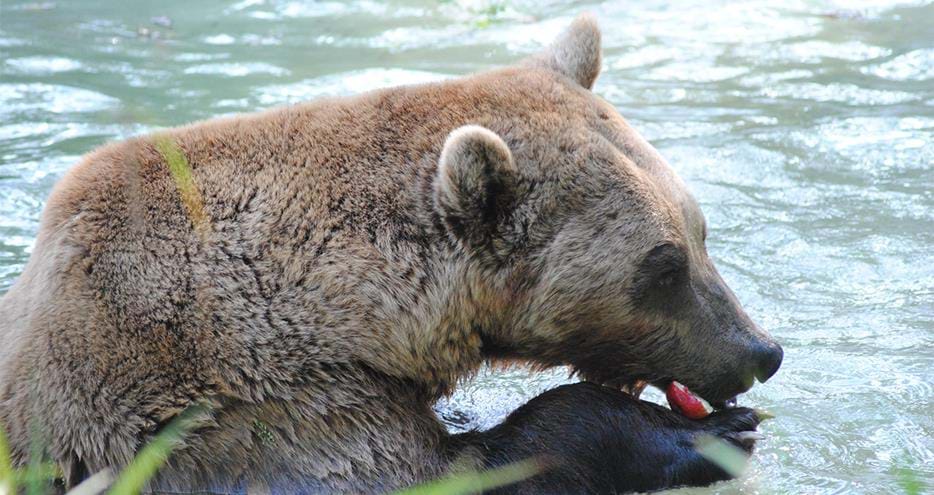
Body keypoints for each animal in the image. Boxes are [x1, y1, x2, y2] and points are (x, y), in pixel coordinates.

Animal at [0, 14, 782, 494]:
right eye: (663, 266)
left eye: (699, 232)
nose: (760, 350)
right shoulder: (258, 420)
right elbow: (465, 468)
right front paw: (703, 434)